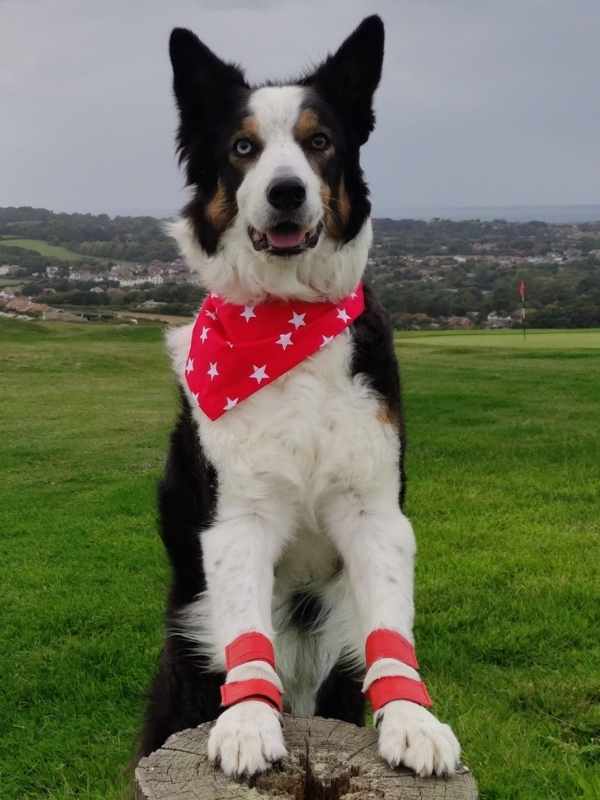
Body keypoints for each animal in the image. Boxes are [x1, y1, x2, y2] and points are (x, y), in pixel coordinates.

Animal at [141, 15, 460, 780]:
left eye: (320, 143)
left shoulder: (374, 511)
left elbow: (389, 624)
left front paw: (413, 721)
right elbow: (246, 628)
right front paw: (249, 722)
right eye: (243, 148)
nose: (286, 191)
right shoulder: (238, 519)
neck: (286, 326)